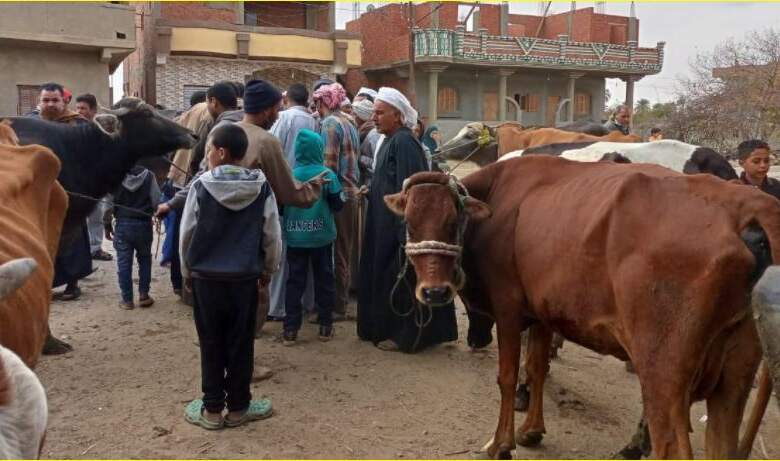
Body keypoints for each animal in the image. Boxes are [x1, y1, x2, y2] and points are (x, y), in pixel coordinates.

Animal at [386, 157, 780, 456]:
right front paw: (532, 431)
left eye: (453, 222)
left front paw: (501, 443)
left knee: (670, 444)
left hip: (663, 375)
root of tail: (745, 205)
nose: (434, 292)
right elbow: (538, 367)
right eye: (410, 224)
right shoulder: (543, 312)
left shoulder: (508, 308)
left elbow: (508, 376)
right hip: (733, 381)